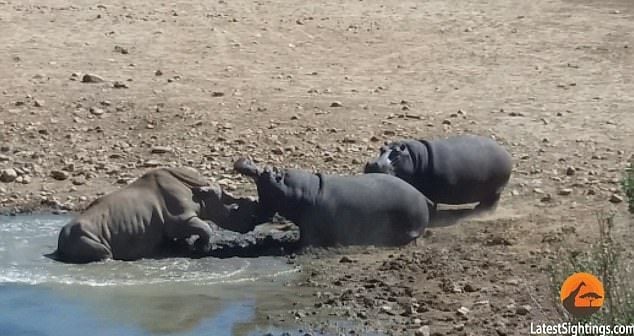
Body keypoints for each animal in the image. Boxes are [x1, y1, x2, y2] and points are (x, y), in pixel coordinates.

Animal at [50, 167, 256, 264]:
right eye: (234, 208)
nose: (250, 224)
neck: (199, 192)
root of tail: (60, 243)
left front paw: (184, 248)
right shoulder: (181, 219)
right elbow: (205, 227)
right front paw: (201, 248)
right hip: (81, 234)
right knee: (104, 252)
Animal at [232, 158, 430, 247]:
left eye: (274, 174)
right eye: (272, 168)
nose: (244, 161)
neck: (307, 192)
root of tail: (422, 197)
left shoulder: (310, 227)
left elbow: (306, 241)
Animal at [362, 134, 512, 213]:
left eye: (397, 153)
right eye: (381, 148)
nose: (373, 165)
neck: (415, 158)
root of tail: (505, 152)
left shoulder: (433, 191)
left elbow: (432, 202)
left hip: (496, 189)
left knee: (493, 200)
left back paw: (483, 211)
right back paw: (479, 207)